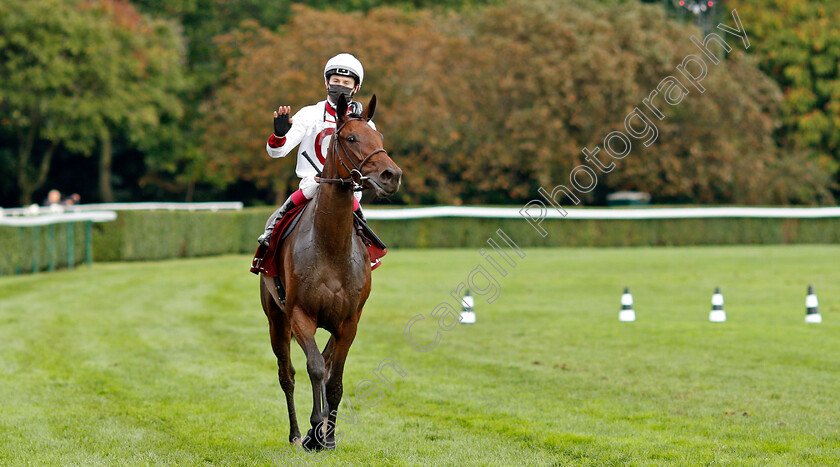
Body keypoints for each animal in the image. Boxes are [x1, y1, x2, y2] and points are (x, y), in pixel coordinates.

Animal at [258, 93, 402, 452]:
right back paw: (297, 434)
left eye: (379, 137)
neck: (331, 247)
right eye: (350, 138)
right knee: (288, 374)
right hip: (275, 320)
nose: (392, 174)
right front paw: (314, 426)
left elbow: (334, 378)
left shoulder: (349, 321)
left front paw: (329, 435)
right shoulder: (300, 315)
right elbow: (313, 368)